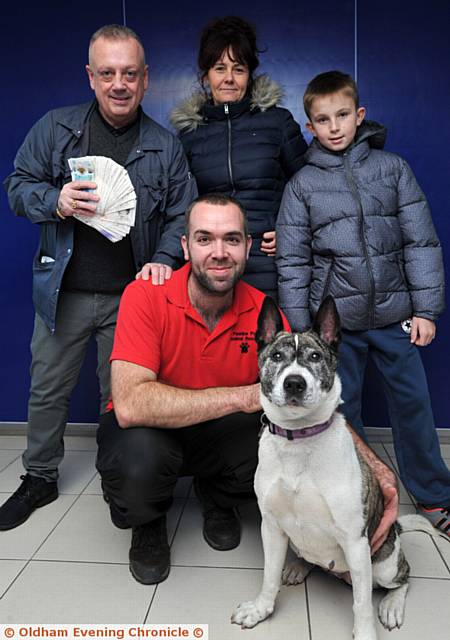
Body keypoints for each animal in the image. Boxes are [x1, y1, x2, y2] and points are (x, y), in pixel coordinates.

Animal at [232, 296, 436, 640]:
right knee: (309, 558)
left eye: (315, 356)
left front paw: (365, 634)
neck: (298, 440)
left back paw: (391, 605)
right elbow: (268, 576)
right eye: (276, 356)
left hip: (383, 564)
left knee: (401, 580)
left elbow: (361, 604)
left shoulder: (355, 541)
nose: (295, 383)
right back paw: (299, 567)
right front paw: (261, 609)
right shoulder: (271, 527)